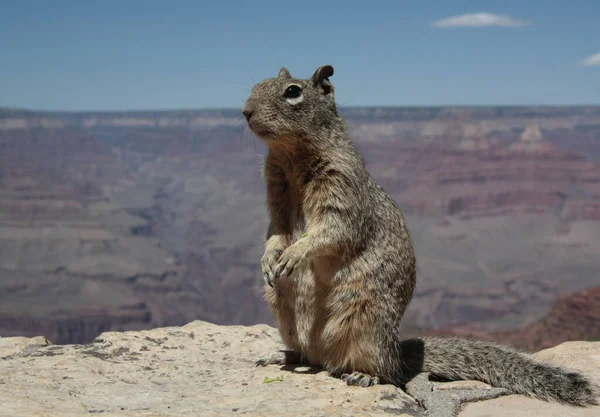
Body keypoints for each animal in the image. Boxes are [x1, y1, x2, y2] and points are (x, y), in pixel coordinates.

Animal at [241, 66, 596, 406]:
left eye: (292, 92)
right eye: (256, 85)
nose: (245, 111)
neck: (292, 156)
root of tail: (396, 351)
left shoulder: (342, 189)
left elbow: (333, 230)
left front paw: (294, 254)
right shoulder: (276, 191)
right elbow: (277, 229)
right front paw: (269, 257)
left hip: (364, 321)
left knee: (382, 370)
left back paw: (364, 375)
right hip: (283, 309)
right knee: (308, 355)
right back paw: (282, 354)